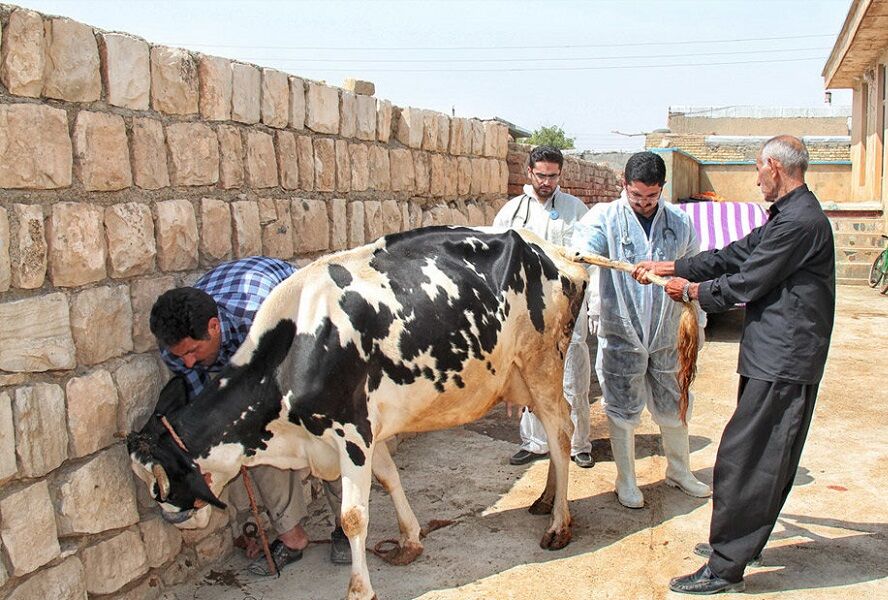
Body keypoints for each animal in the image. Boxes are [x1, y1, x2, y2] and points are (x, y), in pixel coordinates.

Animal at [128, 226, 588, 600]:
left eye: (158, 484)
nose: (173, 519)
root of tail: (556, 250)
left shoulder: (350, 433)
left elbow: (353, 516)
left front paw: (359, 588)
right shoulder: (369, 429)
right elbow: (390, 478)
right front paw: (409, 541)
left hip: (542, 363)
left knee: (561, 430)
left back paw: (558, 525)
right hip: (523, 375)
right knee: (553, 433)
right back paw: (546, 501)